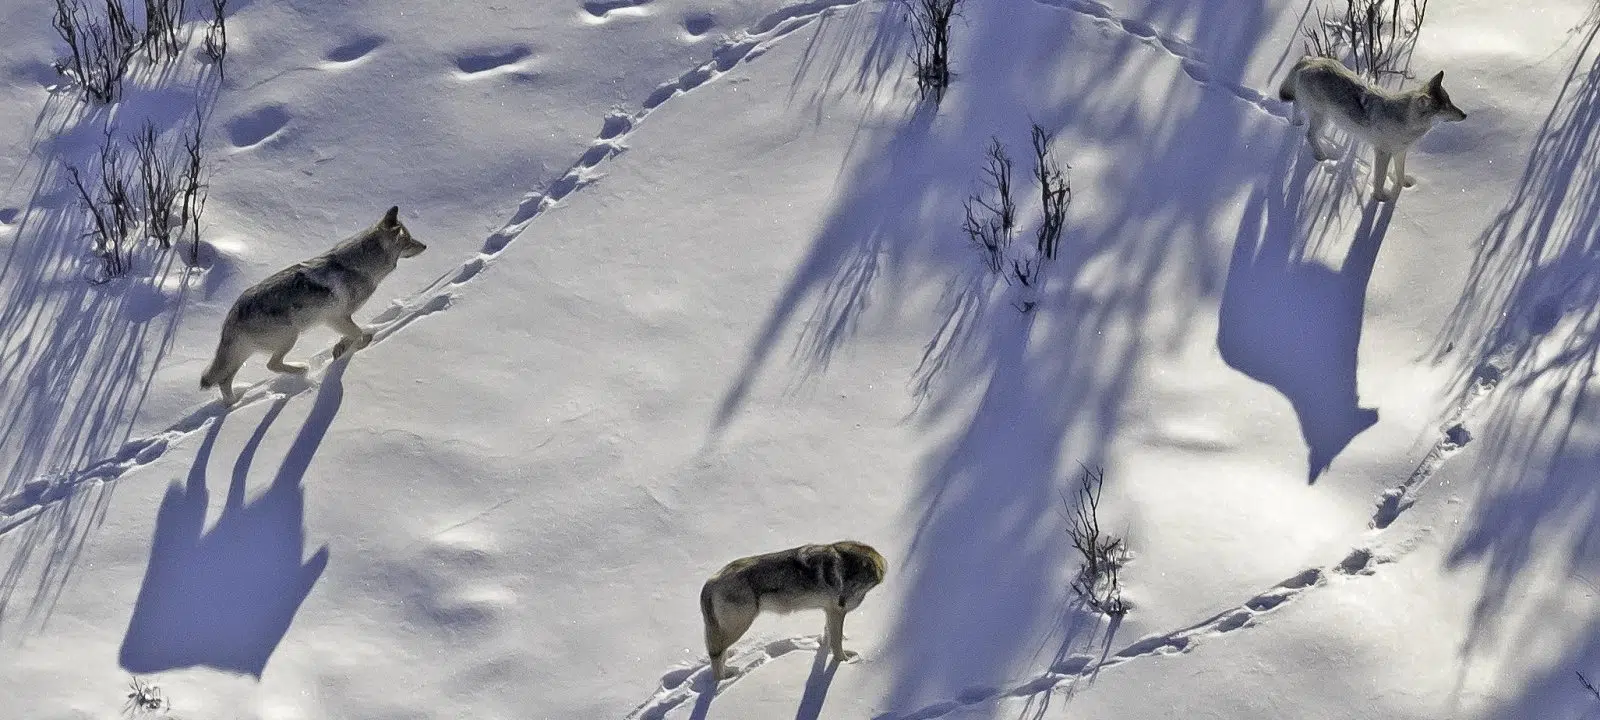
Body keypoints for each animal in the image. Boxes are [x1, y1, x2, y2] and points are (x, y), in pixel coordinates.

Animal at [199, 204, 425, 404]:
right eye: (408, 241)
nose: (425, 246)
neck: (359, 266)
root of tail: (233, 314)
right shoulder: (335, 318)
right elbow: (358, 333)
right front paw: (358, 345)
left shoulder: (338, 320)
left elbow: (351, 334)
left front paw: (341, 348)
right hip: (290, 336)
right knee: (270, 365)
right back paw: (301, 369)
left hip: (247, 352)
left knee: (224, 380)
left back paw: (234, 403)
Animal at [704, 540, 896, 684]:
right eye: (841, 579)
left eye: (854, 581)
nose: (841, 601)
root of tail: (710, 581)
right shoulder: (836, 612)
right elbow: (837, 642)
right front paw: (844, 662)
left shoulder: (830, 611)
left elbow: (829, 636)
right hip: (738, 626)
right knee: (715, 653)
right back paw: (723, 679)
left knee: (720, 652)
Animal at [1280, 55, 1465, 202]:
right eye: (1444, 108)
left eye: (1450, 103)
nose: (1465, 115)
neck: (1405, 121)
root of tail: (1309, 60)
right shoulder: (1382, 153)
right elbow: (1380, 179)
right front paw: (1381, 198)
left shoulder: (1400, 152)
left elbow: (1400, 173)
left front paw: (1404, 187)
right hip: (1323, 119)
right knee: (1309, 135)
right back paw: (1322, 156)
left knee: (1296, 108)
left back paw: (1296, 124)